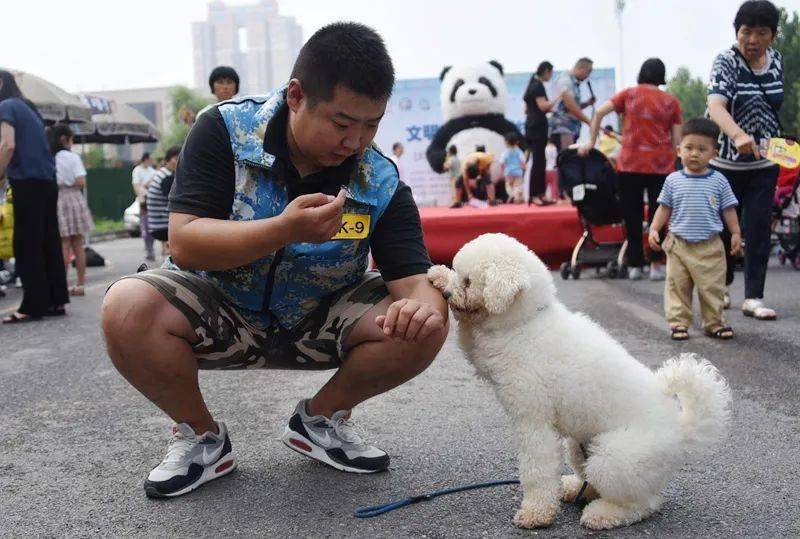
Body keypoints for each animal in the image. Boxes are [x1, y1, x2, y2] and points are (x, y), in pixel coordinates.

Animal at [432, 235, 732, 532]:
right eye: (458, 273)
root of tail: (680, 428)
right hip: (579, 447)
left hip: (614, 458)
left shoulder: (533, 420)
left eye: (468, 282)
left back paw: (603, 513)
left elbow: (537, 471)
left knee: (644, 503)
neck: (529, 319)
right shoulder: (487, 350)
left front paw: (536, 513)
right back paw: (574, 488)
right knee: (595, 481)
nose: (447, 295)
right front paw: (438, 276)